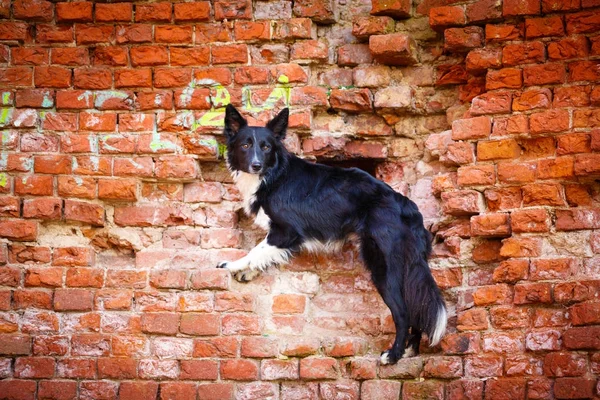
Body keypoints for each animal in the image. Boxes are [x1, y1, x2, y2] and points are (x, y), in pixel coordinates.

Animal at [216, 104, 446, 364]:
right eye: (245, 145)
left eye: (266, 147)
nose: (256, 165)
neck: (273, 175)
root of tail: (408, 206)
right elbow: (263, 254)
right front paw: (248, 271)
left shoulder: (287, 231)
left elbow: (256, 250)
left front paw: (233, 265)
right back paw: (409, 349)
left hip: (383, 267)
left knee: (403, 312)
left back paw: (393, 355)